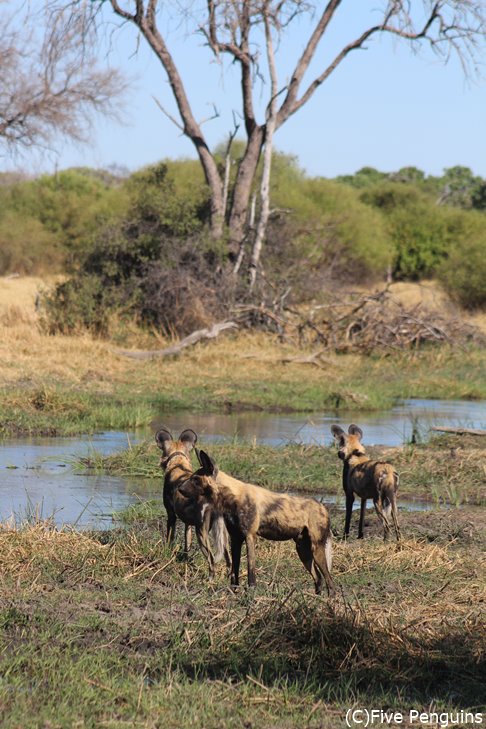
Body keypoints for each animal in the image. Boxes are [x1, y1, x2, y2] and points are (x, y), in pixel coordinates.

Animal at [157, 426, 231, 576]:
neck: (178, 464)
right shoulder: (188, 523)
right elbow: (187, 545)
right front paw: (186, 562)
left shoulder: (171, 516)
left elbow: (169, 538)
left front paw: (167, 554)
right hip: (222, 536)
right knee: (229, 561)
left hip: (202, 533)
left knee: (212, 560)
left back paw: (209, 579)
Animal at [178, 450, 334, 596]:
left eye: (196, 479)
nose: (179, 488)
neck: (232, 498)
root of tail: (323, 507)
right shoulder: (235, 540)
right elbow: (234, 570)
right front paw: (234, 591)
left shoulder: (250, 537)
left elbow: (250, 572)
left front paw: (251, 593)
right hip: (303, 551)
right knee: (319, 578)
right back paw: (316, 598)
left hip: (316, 549)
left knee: (329, 580)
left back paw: (330, 600)